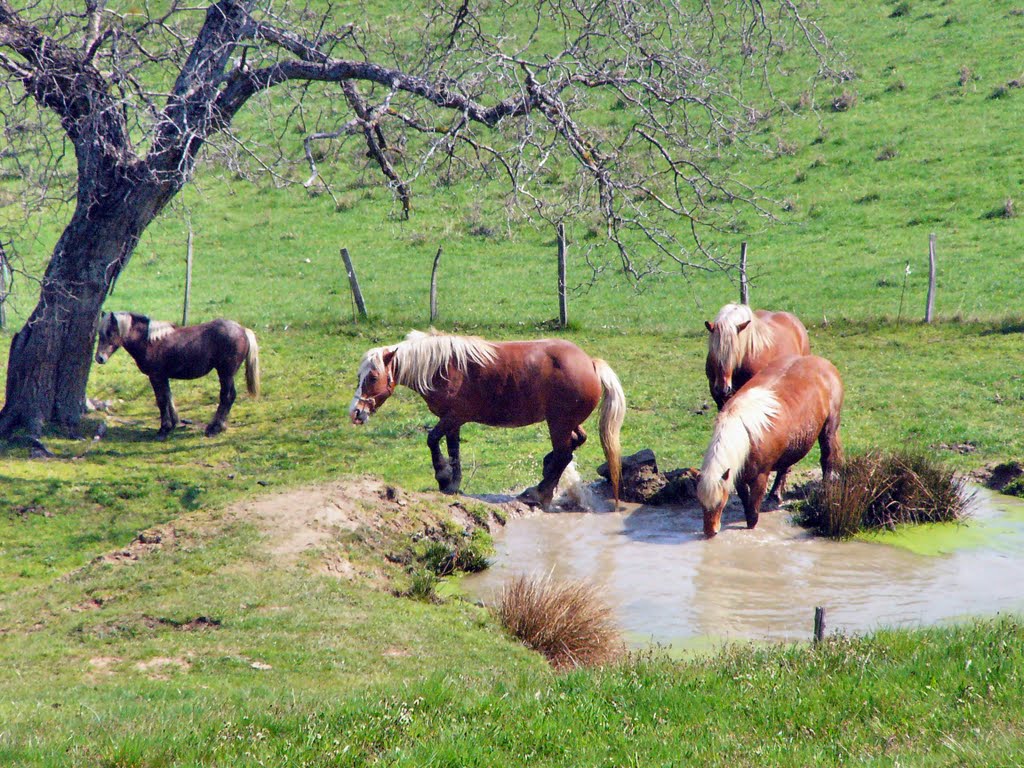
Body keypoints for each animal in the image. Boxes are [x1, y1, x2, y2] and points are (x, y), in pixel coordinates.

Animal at [95, 313, 260, 442]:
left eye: (110, 332)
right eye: (100, 334)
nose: (99, 358)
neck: (150, 342)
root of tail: (243, 330)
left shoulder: (156, 376)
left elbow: (161, 401)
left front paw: (163, 429)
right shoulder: (163, 377)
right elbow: (169, 398)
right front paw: (173, 424)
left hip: (225, 373)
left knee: (227, 396)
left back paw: (214, 428)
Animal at [350, 331, 622, 512]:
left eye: (372, 377)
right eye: (358, 376)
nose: (356, 412)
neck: (443, 367)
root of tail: (591, 363)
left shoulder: (454, 416)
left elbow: (432, 440)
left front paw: (442, 476)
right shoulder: (452, 422)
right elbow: (454, 451)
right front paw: (452, 483)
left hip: (558, 424)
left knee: (563, 454)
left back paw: (538, 494)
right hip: (565, 423)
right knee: (573, 445)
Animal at [700, 356, 843, 540]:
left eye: (720, 503)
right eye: (700, 502)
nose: (710, 532)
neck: (745, 436)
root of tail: (823, 362)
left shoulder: (760, 476)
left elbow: (753, 509)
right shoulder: (737, 477)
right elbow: (745, 500)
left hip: (829, 429)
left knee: (827, 458)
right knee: (785, 468)